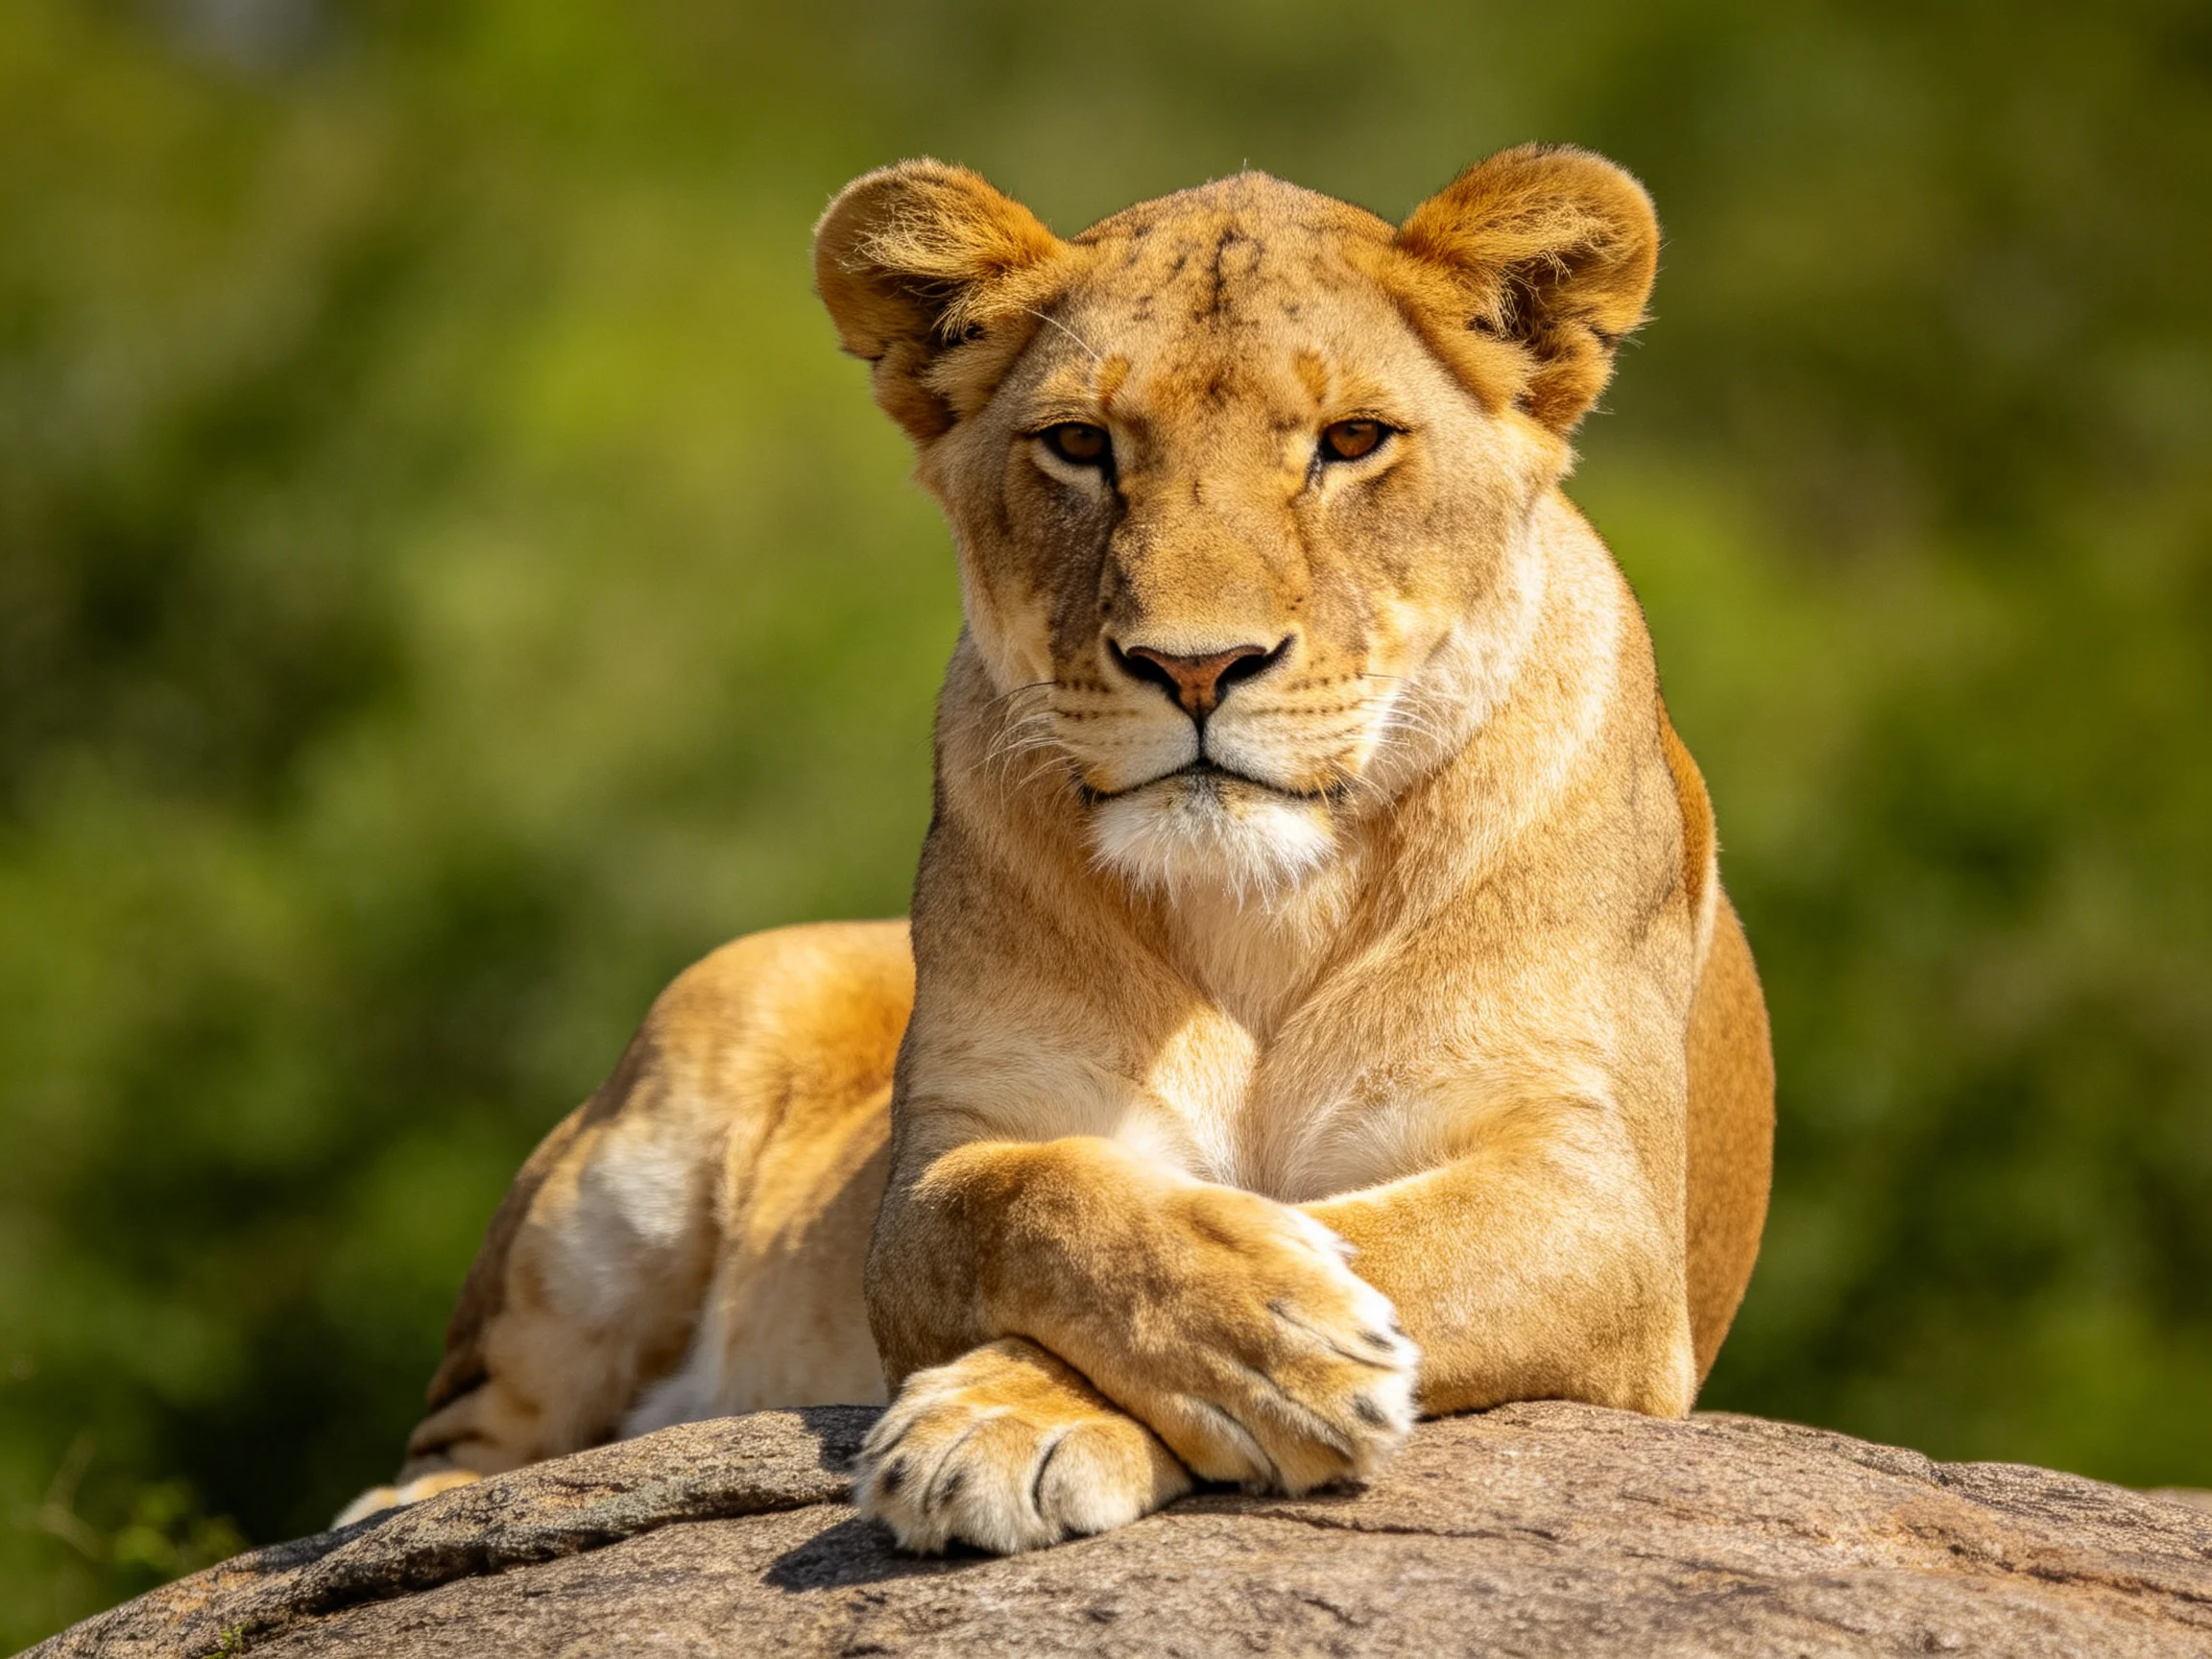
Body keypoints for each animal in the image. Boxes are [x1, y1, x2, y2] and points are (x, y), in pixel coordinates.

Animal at [338, 145, 1774, 1555]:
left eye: (1352, 441)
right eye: (1081, 445)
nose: (1195, 667)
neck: (1259, 911)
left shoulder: (1596, 1201)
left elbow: (1386, 1238)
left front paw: (1037, 1410)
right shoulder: (938, 1168)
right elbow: (1040, 1203)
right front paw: (1227, 1344)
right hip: (634, 1152)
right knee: (472, 1432)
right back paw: (407, 1515)